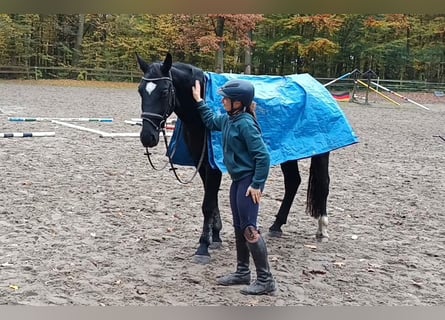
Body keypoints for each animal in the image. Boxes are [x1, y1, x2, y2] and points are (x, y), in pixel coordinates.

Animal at [136, 52, 330, 262]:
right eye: (140, 91)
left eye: (164, 91)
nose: (147, 137)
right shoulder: (202, 164)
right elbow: (212, 201)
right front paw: (216, 237)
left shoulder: (213, 166)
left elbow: (207, 204)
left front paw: (203, 247)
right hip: (289, 154)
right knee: (293, 182)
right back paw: (276, 226)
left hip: (321, 152)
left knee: (323, 183)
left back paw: (322, 228)